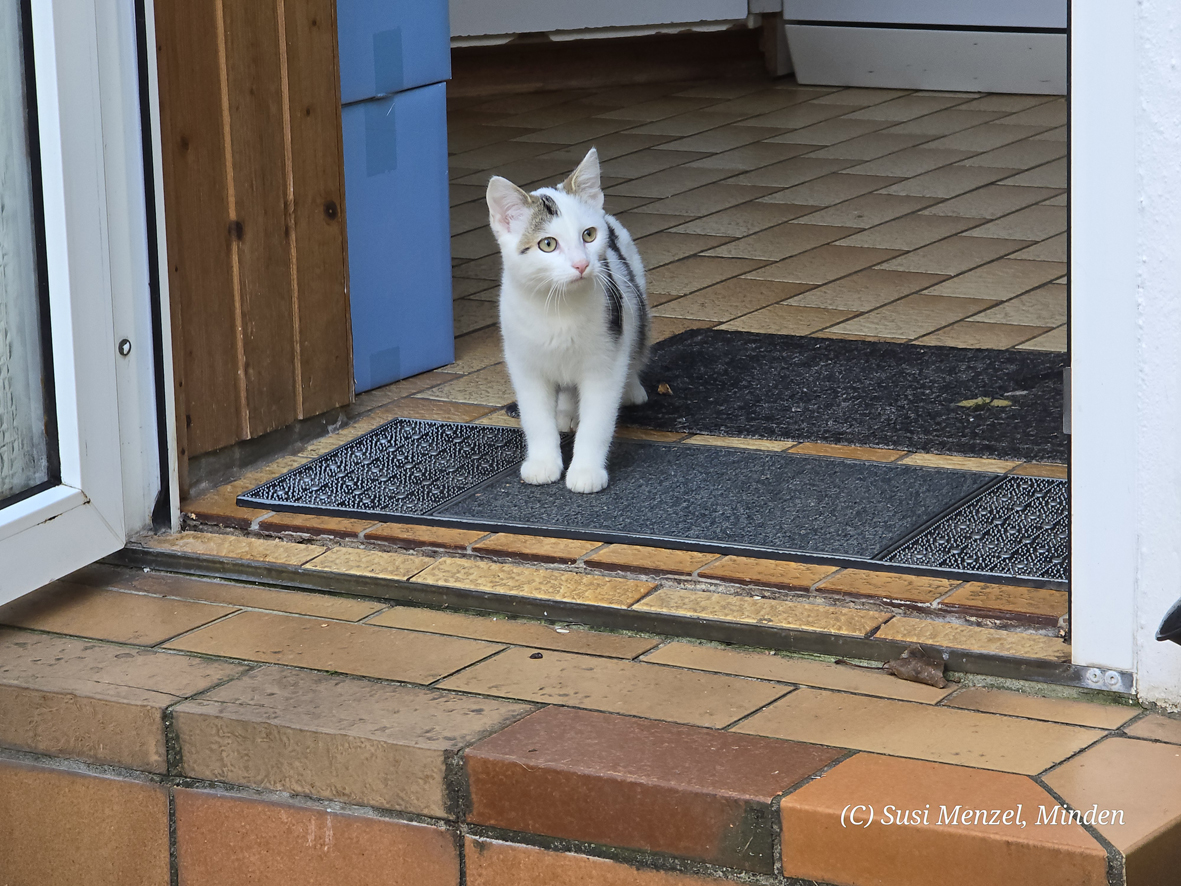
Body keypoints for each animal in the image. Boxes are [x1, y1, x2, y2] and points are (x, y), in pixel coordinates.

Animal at [488, 145, 656, 493]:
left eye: (588, 235)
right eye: (547, 244)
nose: (581, 264)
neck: (558, 307)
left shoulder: (605, 360)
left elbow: (598, 421)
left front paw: (586, 471)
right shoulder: (524, 364)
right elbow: (535, 418)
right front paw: (543, 463)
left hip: (632, 297)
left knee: (635, 340)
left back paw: (631, 388)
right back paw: (565, 411)